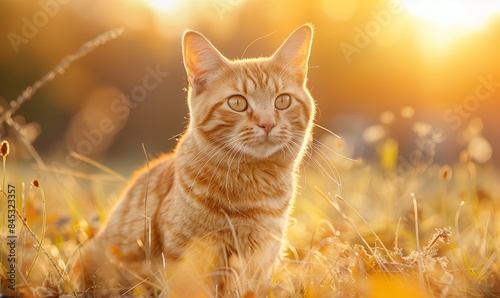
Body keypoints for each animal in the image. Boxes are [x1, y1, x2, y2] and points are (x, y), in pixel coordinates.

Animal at [71, 24, 312, 296]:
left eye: (282, 101)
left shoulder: (262, 262)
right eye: (237, 102)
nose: (268, 123)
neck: (255, 187)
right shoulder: (187, 259)